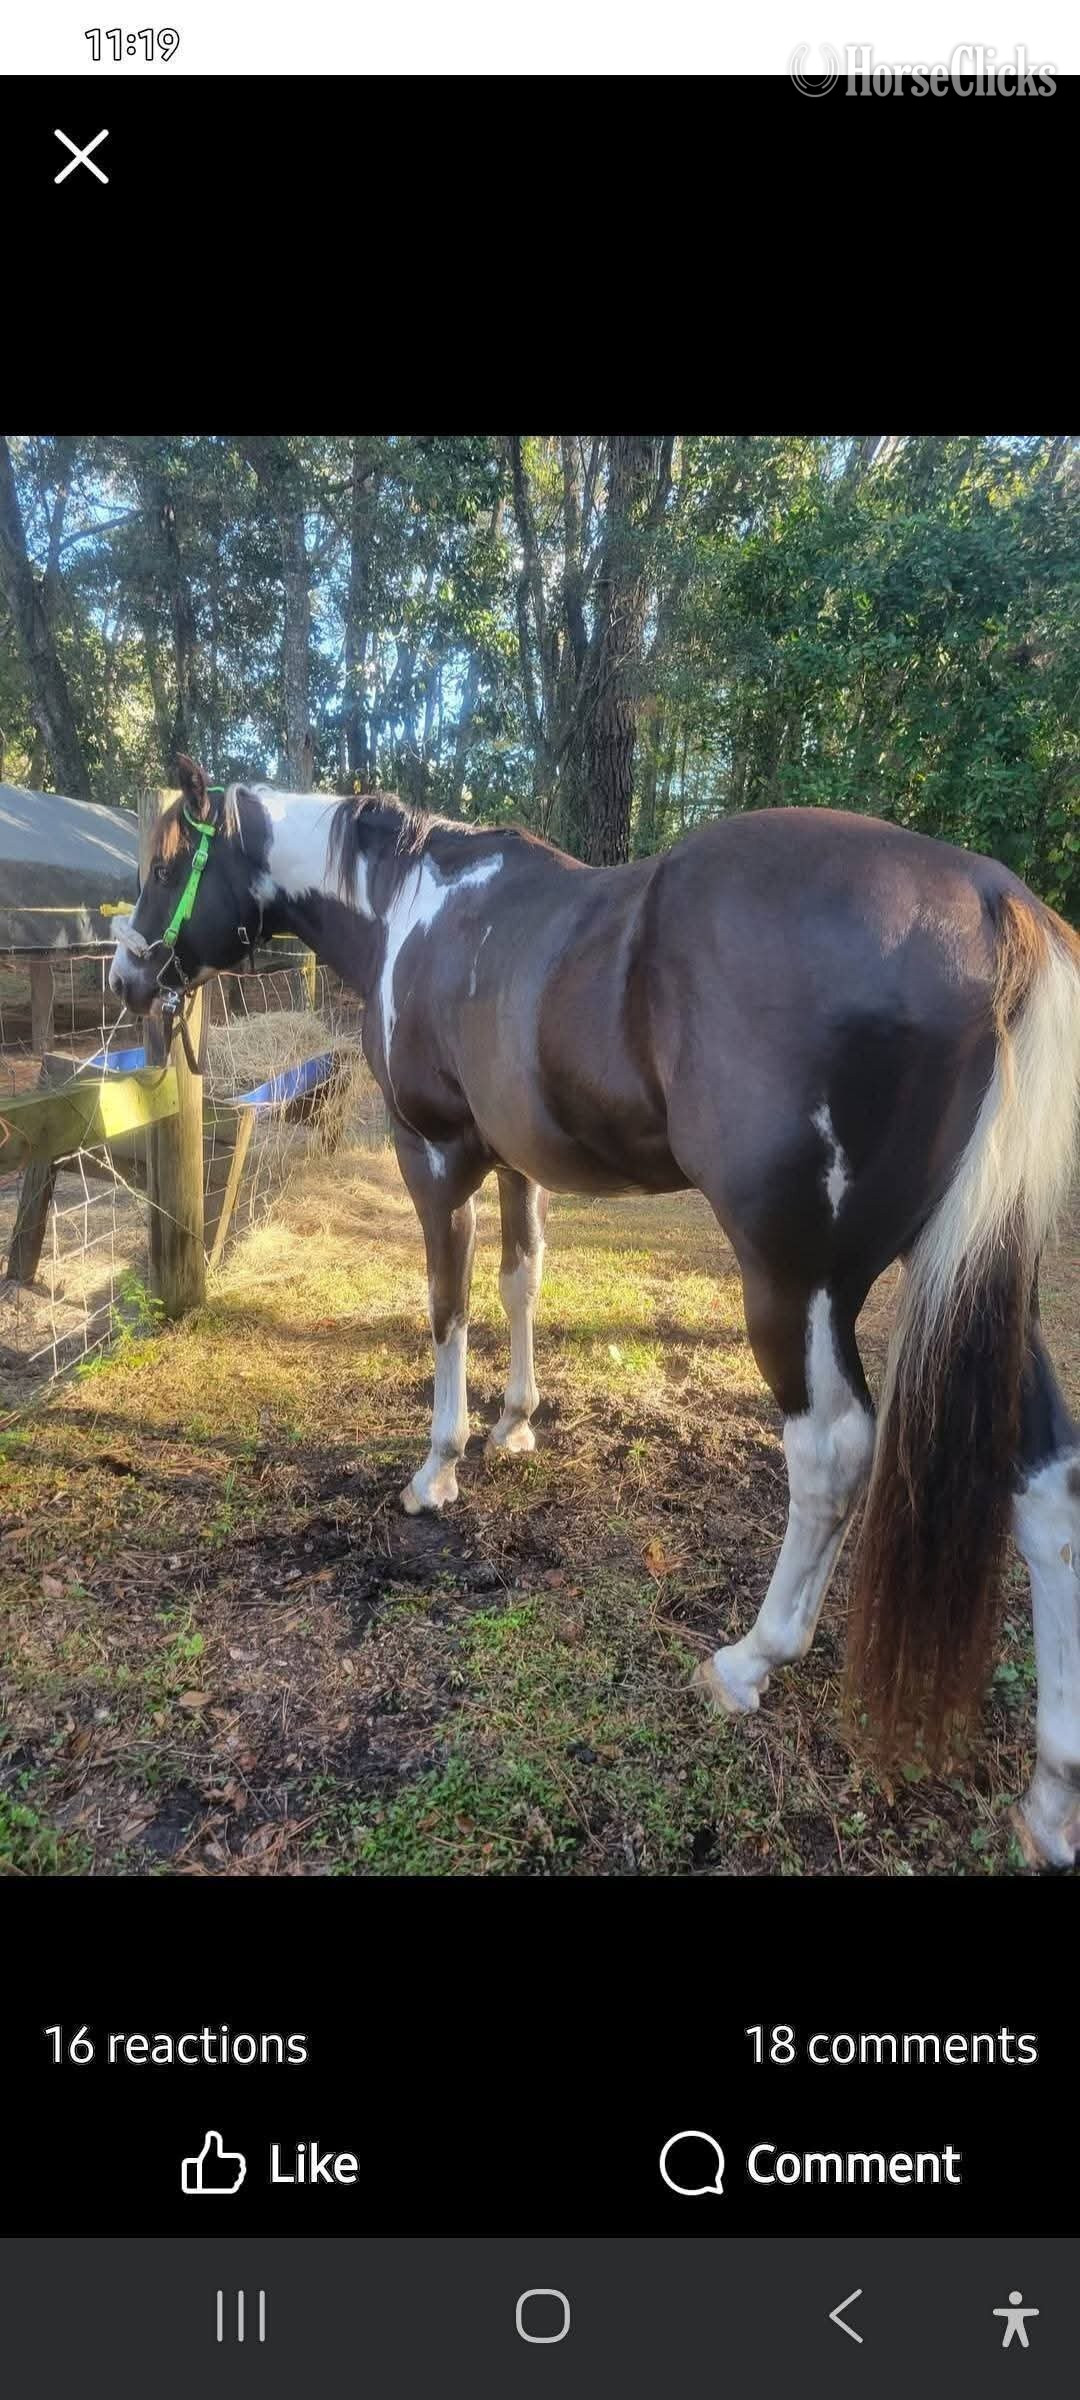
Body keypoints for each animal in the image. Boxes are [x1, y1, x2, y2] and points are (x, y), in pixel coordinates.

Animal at [110, 756, 1080, 1867]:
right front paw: (517, 1424)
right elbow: (520, 1280)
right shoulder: (518, 1161)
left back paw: (749, 1662)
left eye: (166, 863)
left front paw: (438, 1470)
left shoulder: (434, 1156)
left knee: (833, 1451)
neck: (409, 906)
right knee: (1047, 1485)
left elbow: (446, 1306)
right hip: (971, 1273)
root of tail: (995, 903)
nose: (125, 975)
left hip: (797, 1278)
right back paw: (1052, 1794)